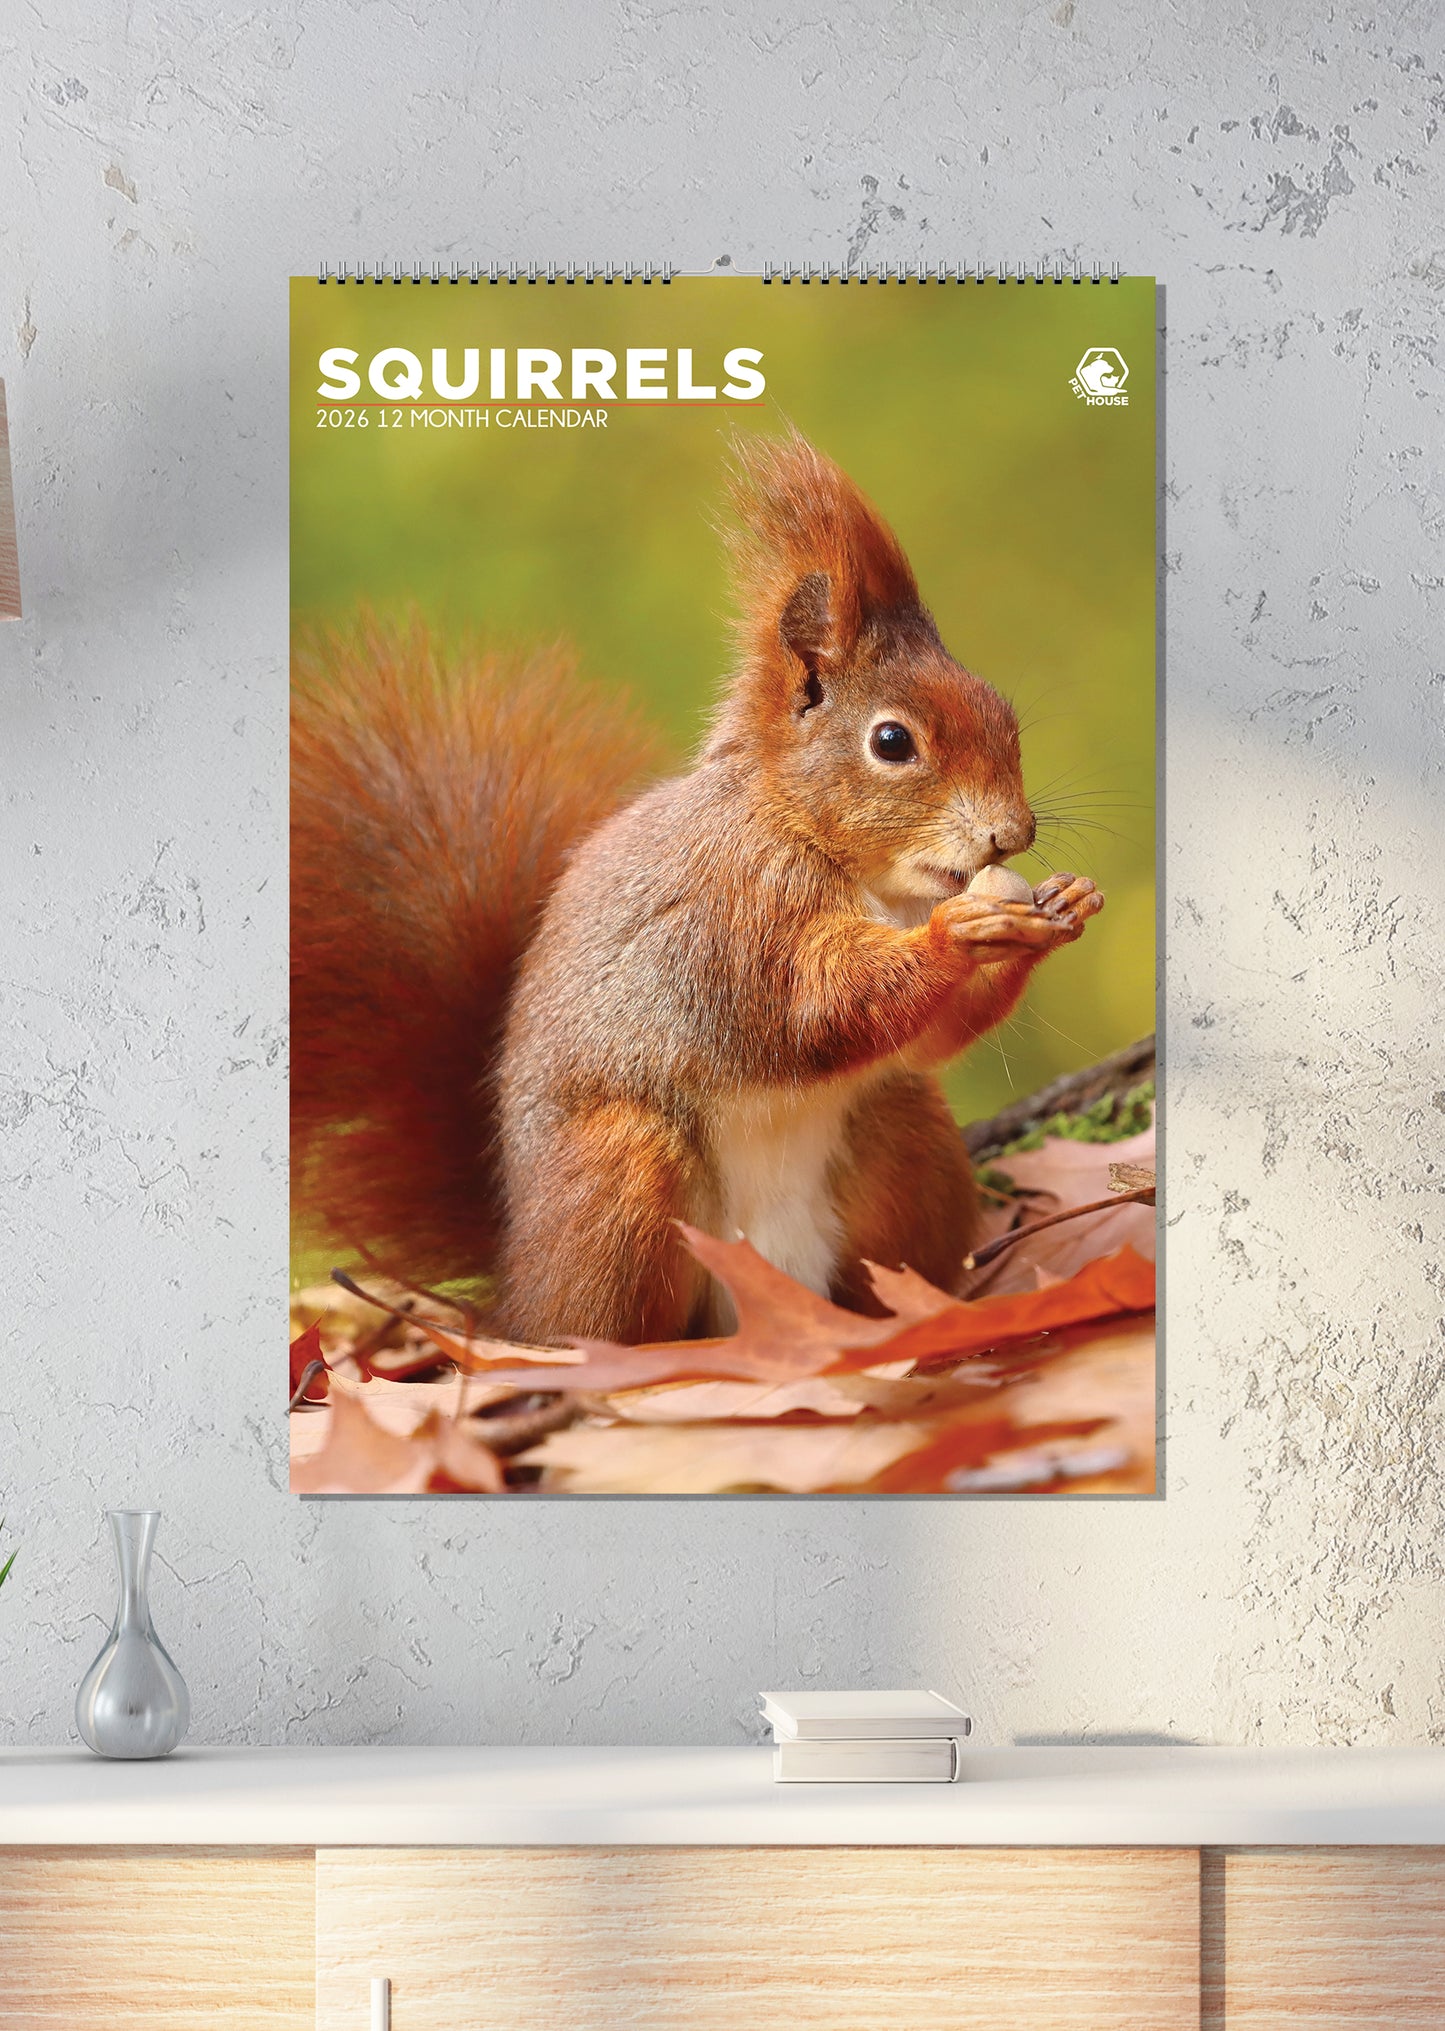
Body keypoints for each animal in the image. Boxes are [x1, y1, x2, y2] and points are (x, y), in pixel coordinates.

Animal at [291, 430, 1104, 1345]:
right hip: (620, 1174)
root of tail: (514, 1278)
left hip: (902, 1138)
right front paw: (956, 933)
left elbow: (926, 1037)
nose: (1013, 833)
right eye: (892, 741)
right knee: (602, 1319)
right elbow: (810, 1004)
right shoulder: (730, 911)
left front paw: (1060, 908)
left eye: (1001, 712)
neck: (850, 866)